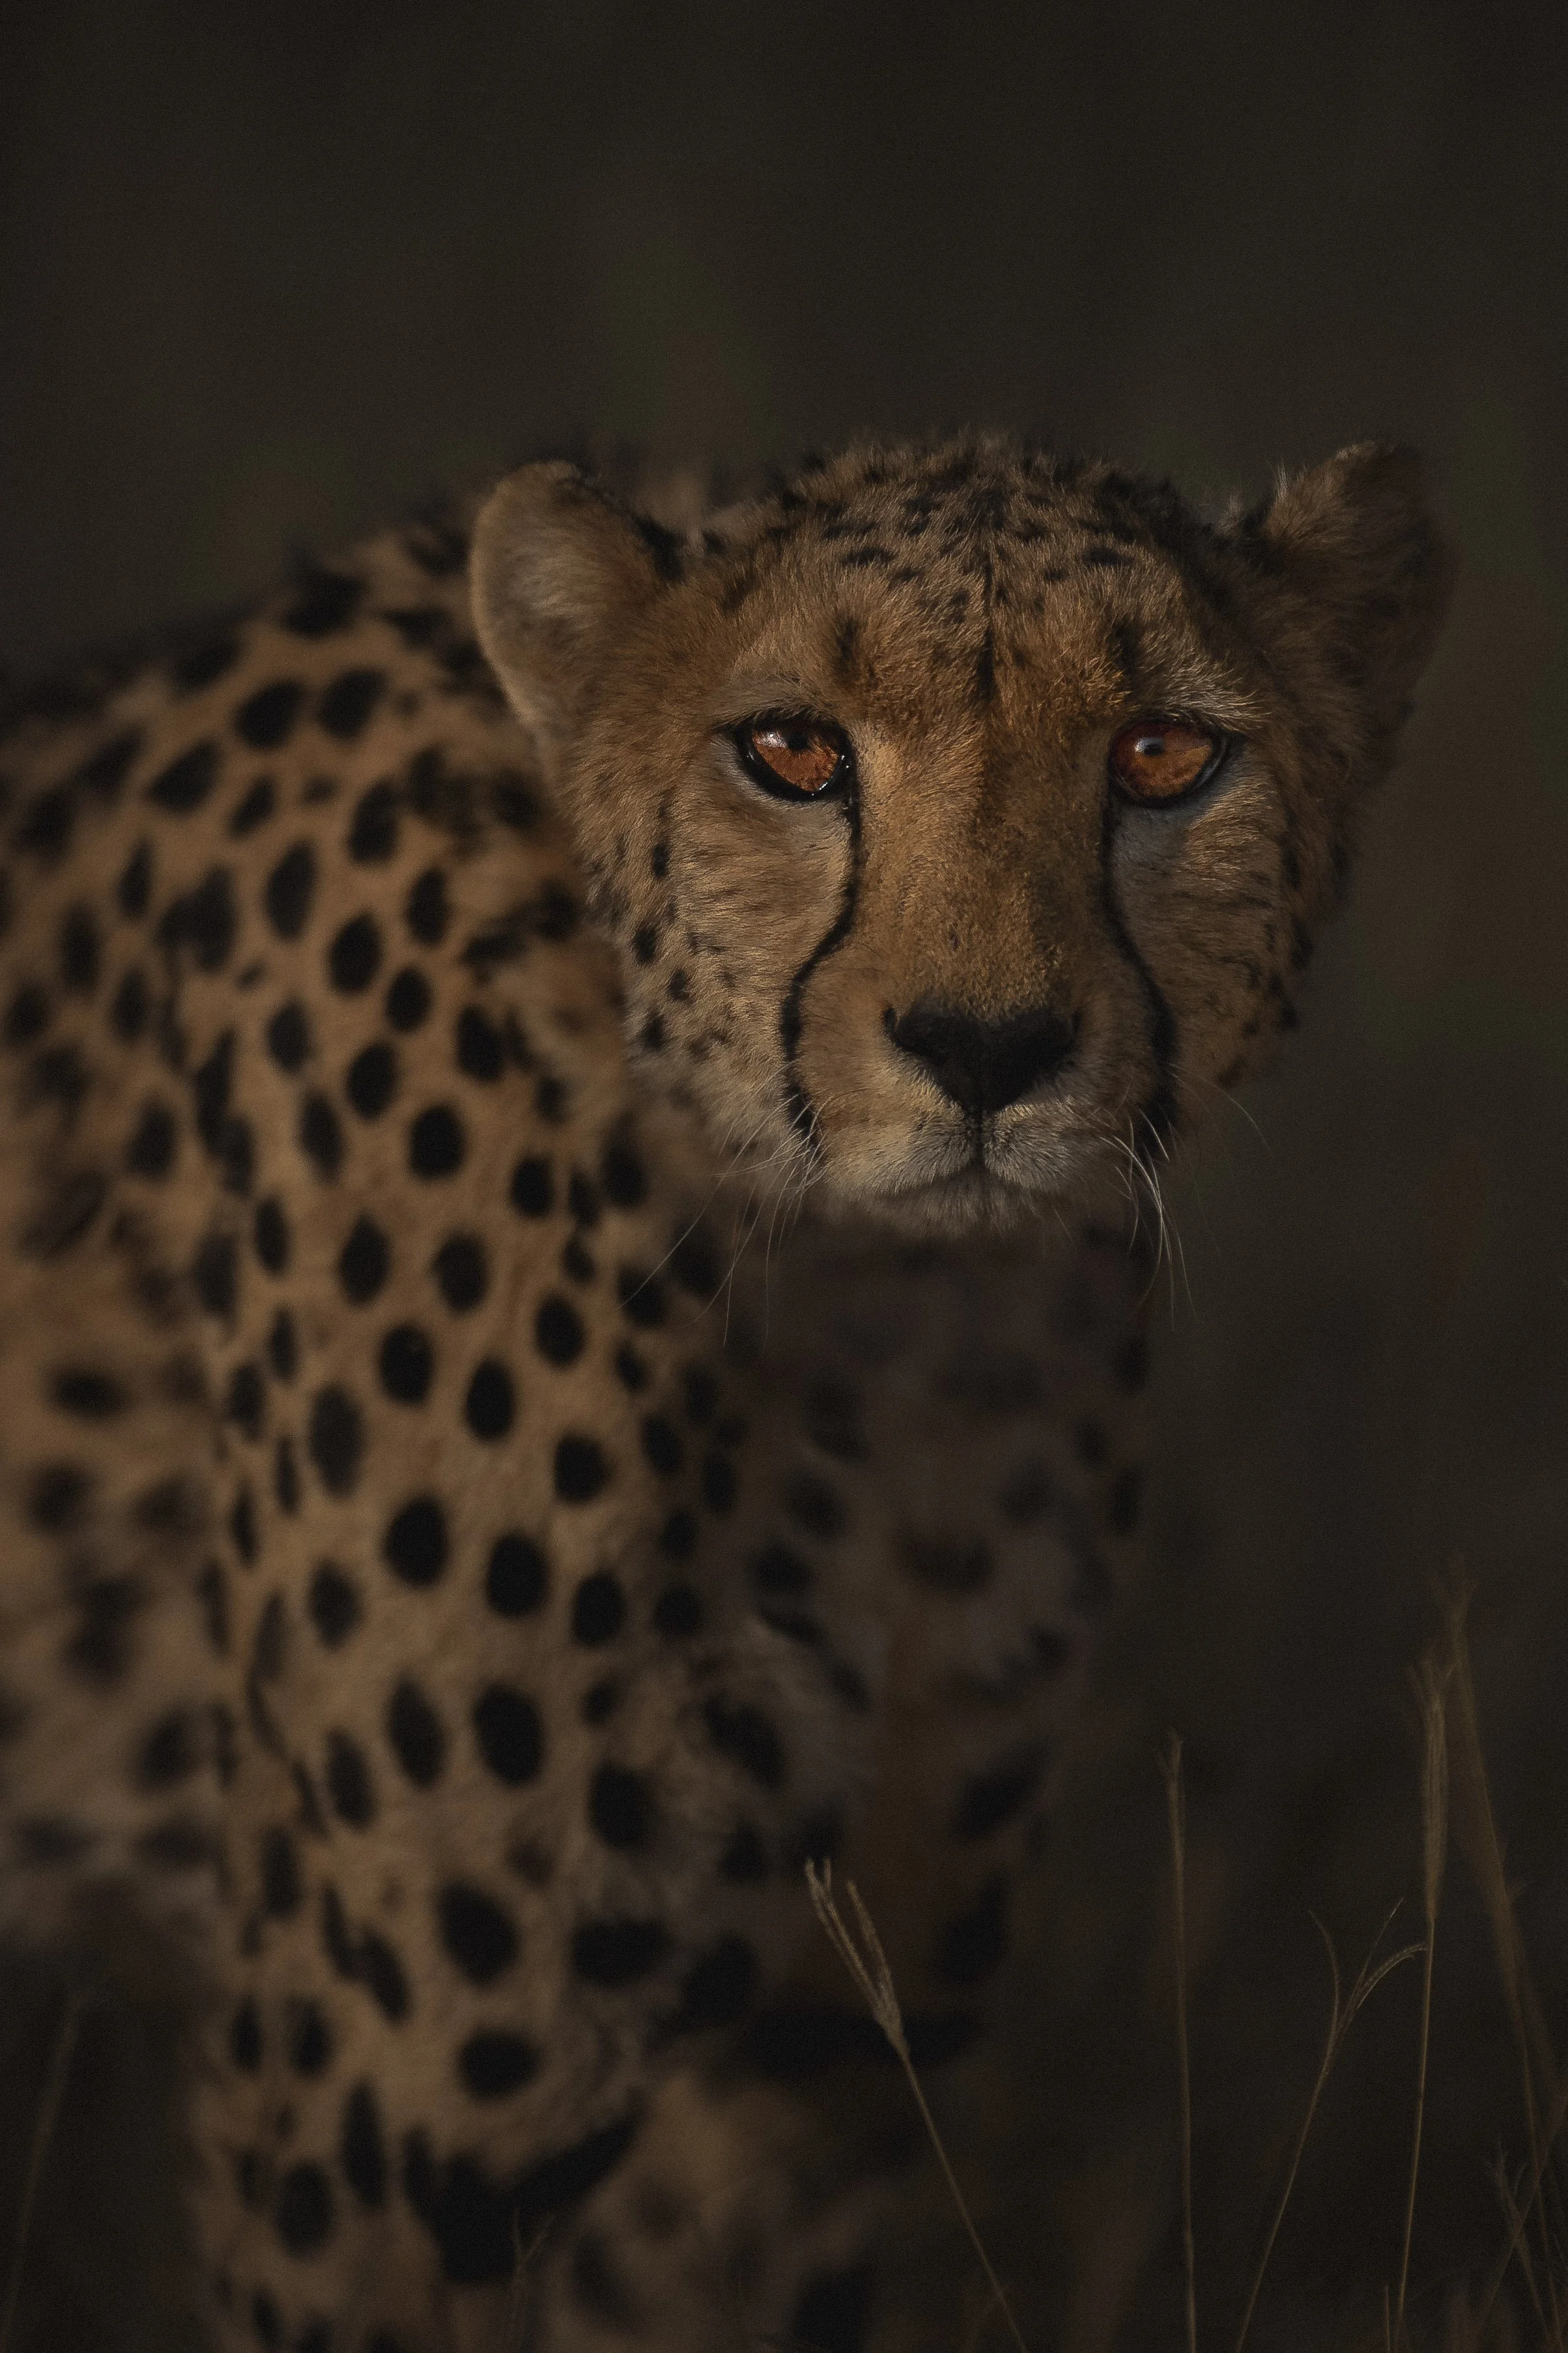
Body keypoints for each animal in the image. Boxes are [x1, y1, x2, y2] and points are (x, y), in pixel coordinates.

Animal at [0, 432, 1450, 2352]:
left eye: (1159, 753)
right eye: (789, 752)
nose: (982, 1047)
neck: (895, 1325)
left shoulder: (794, 2075)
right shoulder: (395, 2124)